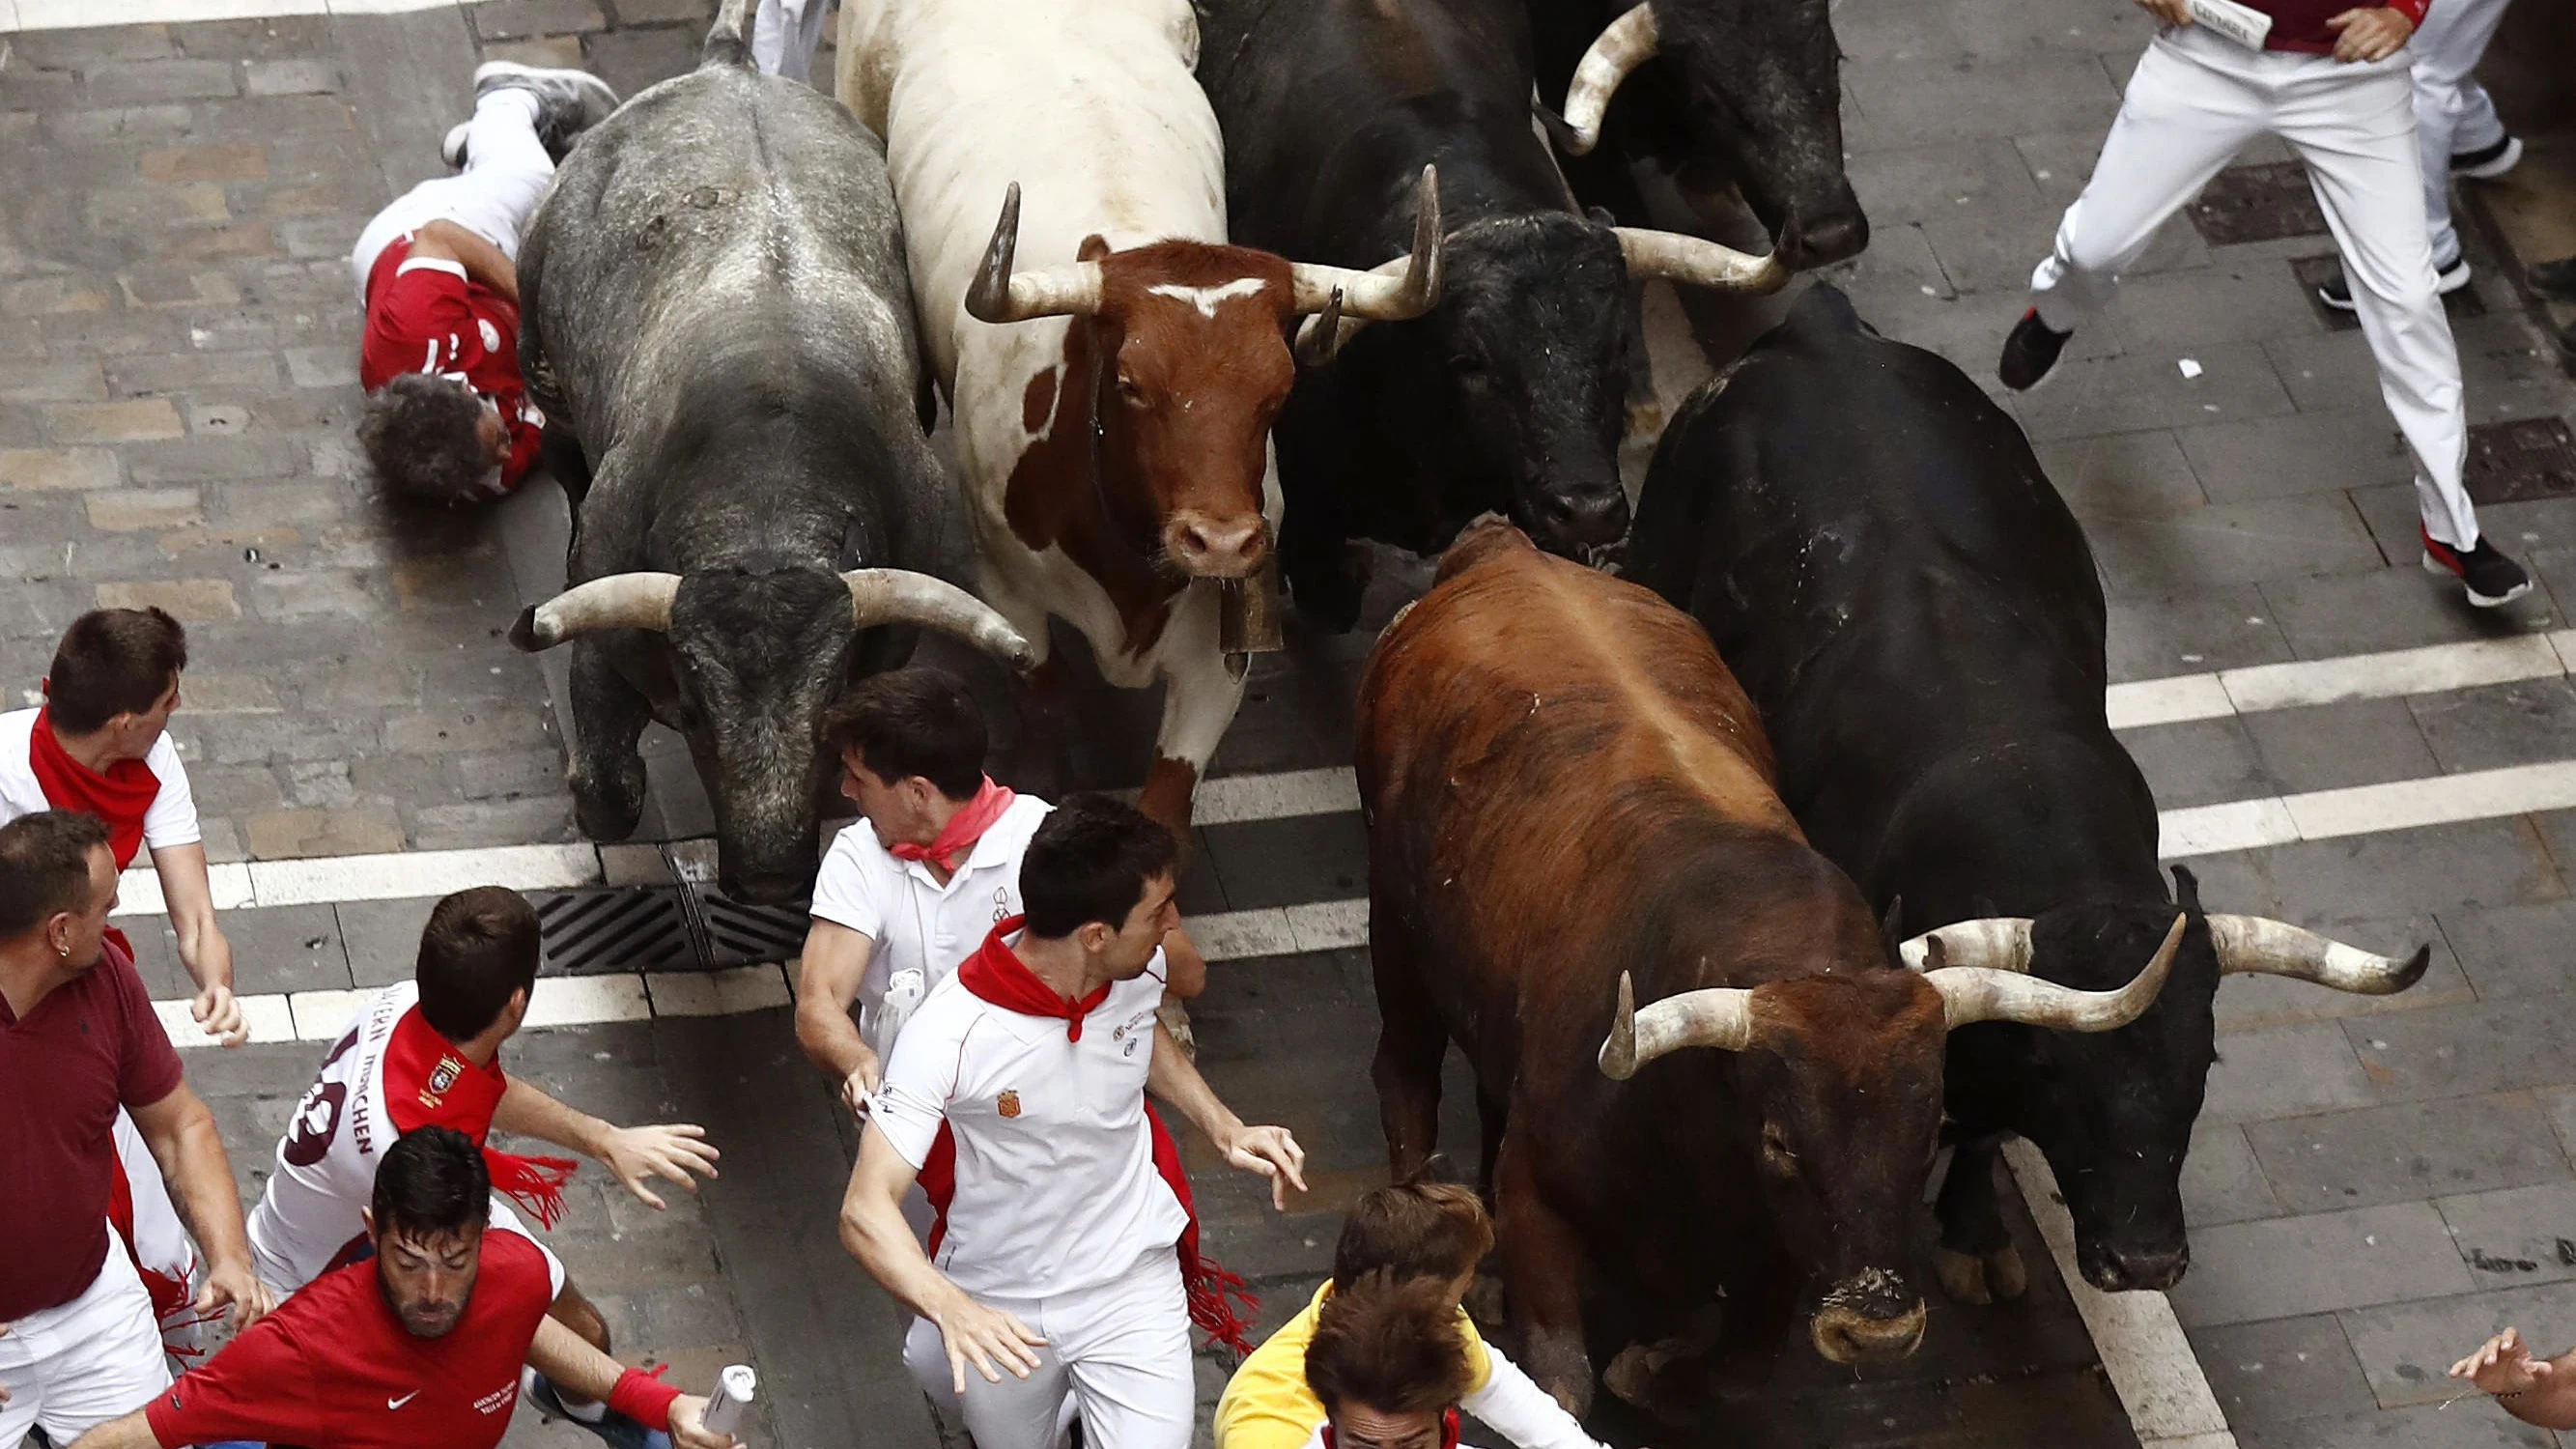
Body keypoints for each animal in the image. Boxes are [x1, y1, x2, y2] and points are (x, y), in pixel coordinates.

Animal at [507, 2, 1030, 902]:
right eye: (691, 705)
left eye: (828, 714)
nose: (766, 878)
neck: (765, 502)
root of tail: (728, 66)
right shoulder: (605, 643)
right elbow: (607, 791)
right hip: (550, 386)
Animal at [844, 0, 1453, 825]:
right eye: (1131, 382)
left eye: (1279, 389)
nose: (1221, 542)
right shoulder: (1006, 599)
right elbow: (1043, 719)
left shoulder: (1219, 662)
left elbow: (1165, 805)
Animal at [1360, 518, 2184, 1412]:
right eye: (1781, 1142)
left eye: (1927, 1128)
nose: (1876, 1330)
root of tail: (1501, 546)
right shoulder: (1537, 1199)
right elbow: (1564, 1382)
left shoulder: (1780, 1261)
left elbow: (1735, 1368)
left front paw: (1653, 1359)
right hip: (1394, 934)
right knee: (1404, 1076)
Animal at [1617, 290, 2420, 1299]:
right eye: (2058, 1068)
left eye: (2202, 1058)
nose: (2144, 1258)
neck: (2017, 776)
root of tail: (1818, 328)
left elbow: (1985, 1133)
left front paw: (1973, 1233)